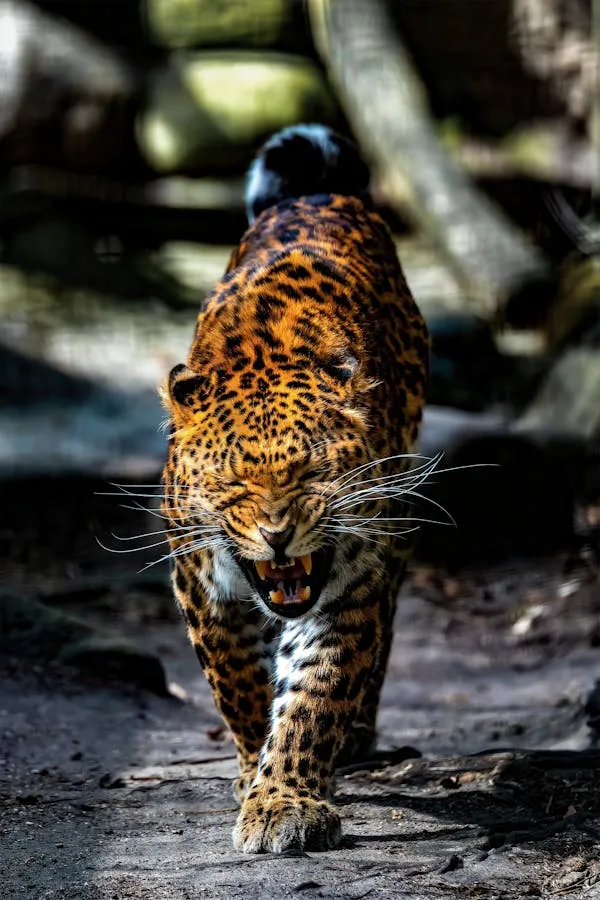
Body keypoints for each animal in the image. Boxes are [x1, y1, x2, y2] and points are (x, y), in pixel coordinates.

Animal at [160, 124, 429, 853]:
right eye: (232, 481)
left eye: (313, 473)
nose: (278, 535)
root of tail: (314, 195)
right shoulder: (201, 585)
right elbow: (240, 686)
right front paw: (252, 771)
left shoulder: (353, 583)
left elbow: (314, 696)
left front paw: (285, 800)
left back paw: (356, 736)